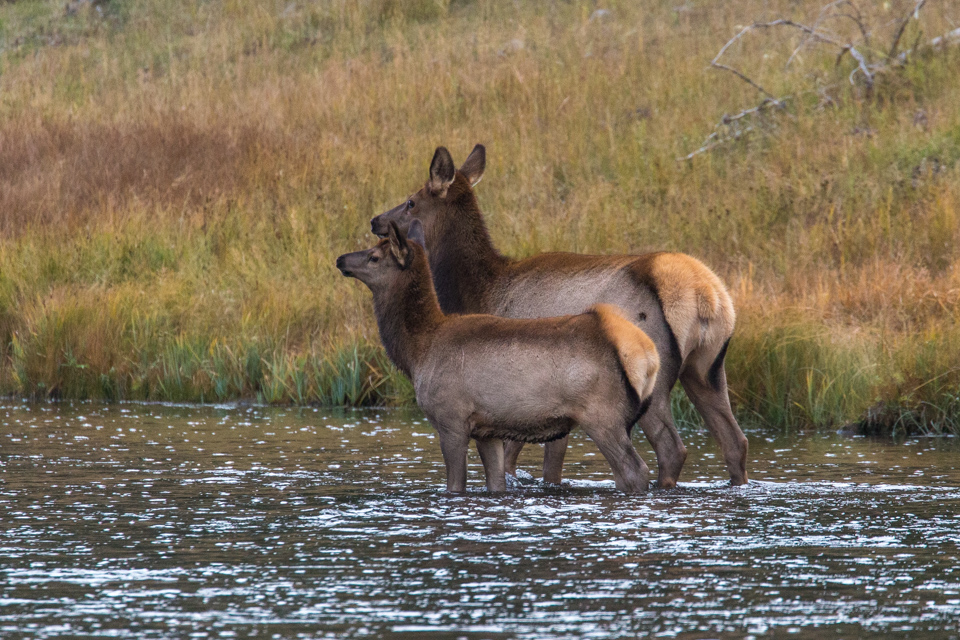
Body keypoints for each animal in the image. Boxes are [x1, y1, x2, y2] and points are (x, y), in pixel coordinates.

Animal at [336, 220, 660, 494]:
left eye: (374, 257)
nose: (340, 259)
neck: (417, 351)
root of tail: (647, 355)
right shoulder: (487, 430)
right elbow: (496, 483)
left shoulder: (451, 418)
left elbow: (455, 485)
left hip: (602, 415)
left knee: (635, 470)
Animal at [370, 145, 748, 489]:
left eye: (411, 201)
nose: (375, 220)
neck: (479, 290)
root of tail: (705, 294)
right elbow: (550, 466)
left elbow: (517, 461)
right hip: (707, 368)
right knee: (735, 441)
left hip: (654, 378)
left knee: (671, 449)